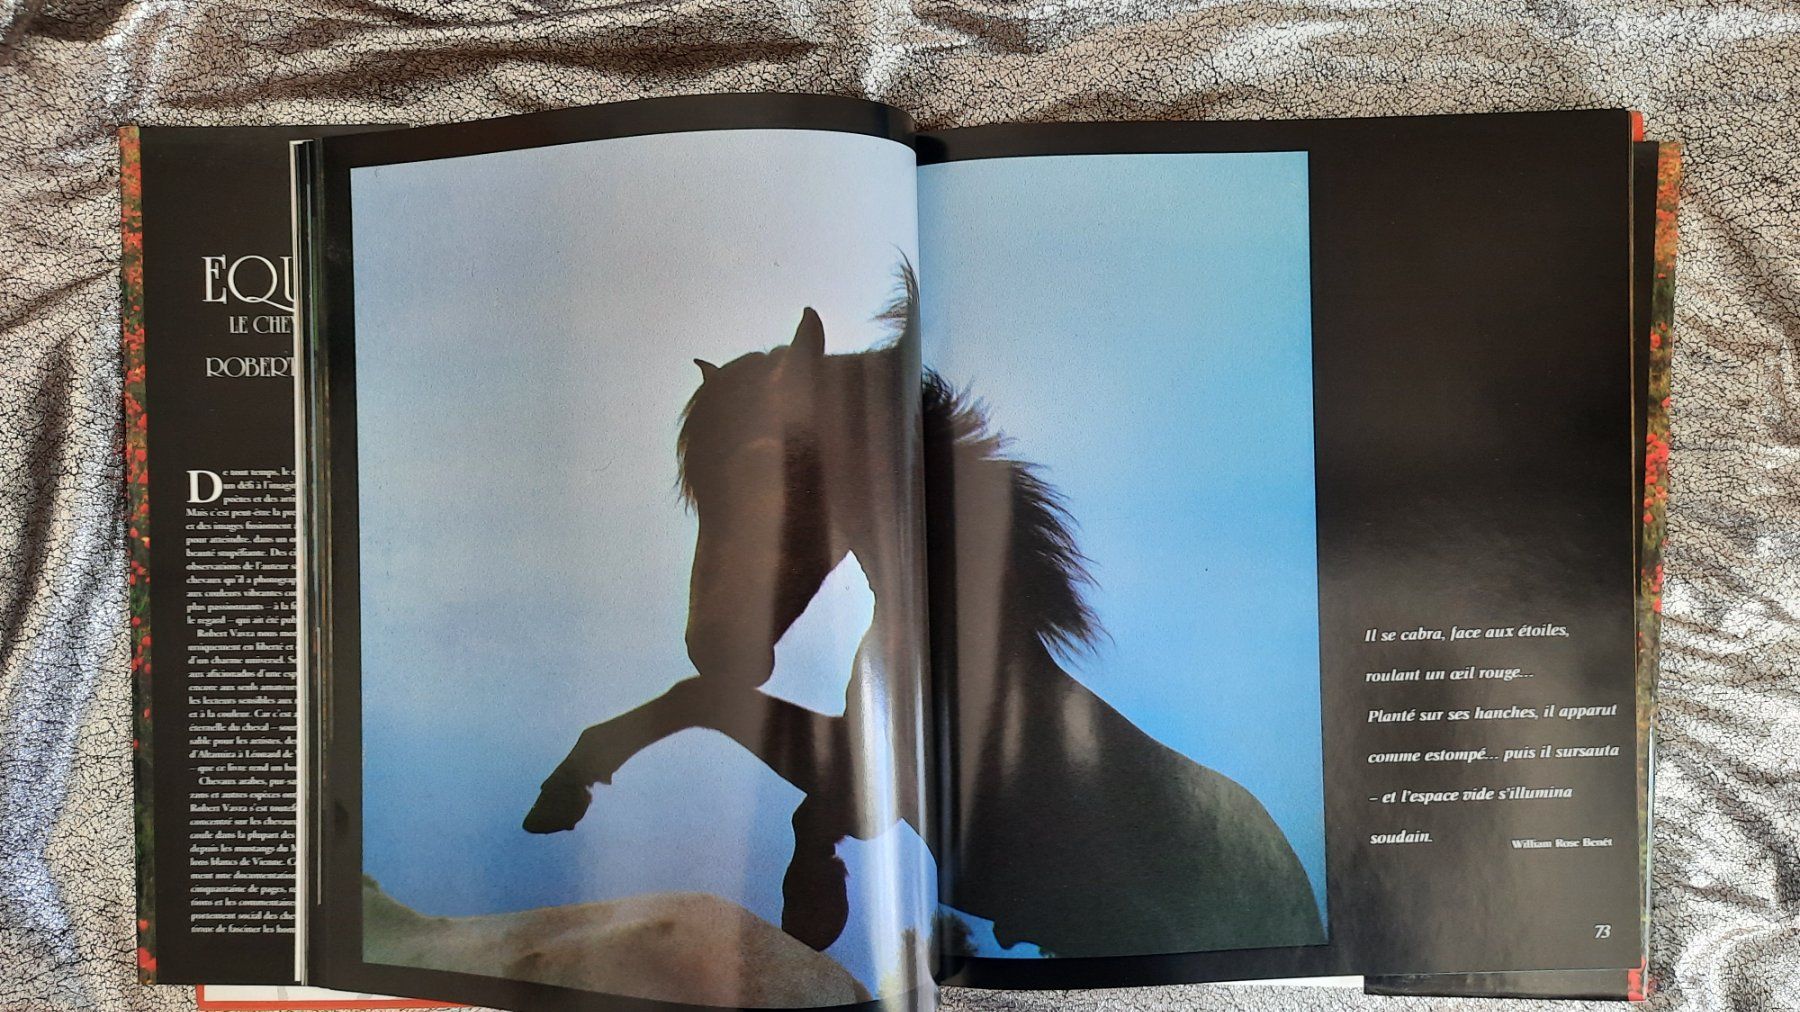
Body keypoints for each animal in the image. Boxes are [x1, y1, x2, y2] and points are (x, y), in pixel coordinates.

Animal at [522, 267, 1325, 959]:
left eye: (767, 467)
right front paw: (562, 796)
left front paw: (813, 906)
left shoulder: (880, 791)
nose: (714, 645)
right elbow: (702, 706)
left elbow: (757, 753)